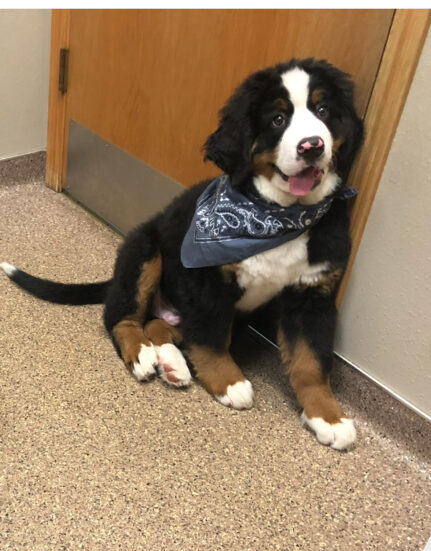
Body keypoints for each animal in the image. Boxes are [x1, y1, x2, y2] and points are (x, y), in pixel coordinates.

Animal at [1, 58, 363, 450]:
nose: (312, 146)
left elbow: (311, 361)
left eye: (323, 111)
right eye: (278, 119)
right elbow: (212, 336)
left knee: (159, 324)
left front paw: (327, 416)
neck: (279, 215)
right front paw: (229, 382)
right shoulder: (208, 282)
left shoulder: (312, 294)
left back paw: (173, 363)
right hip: (145, 251)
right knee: (122, 318)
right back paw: (144, 355)